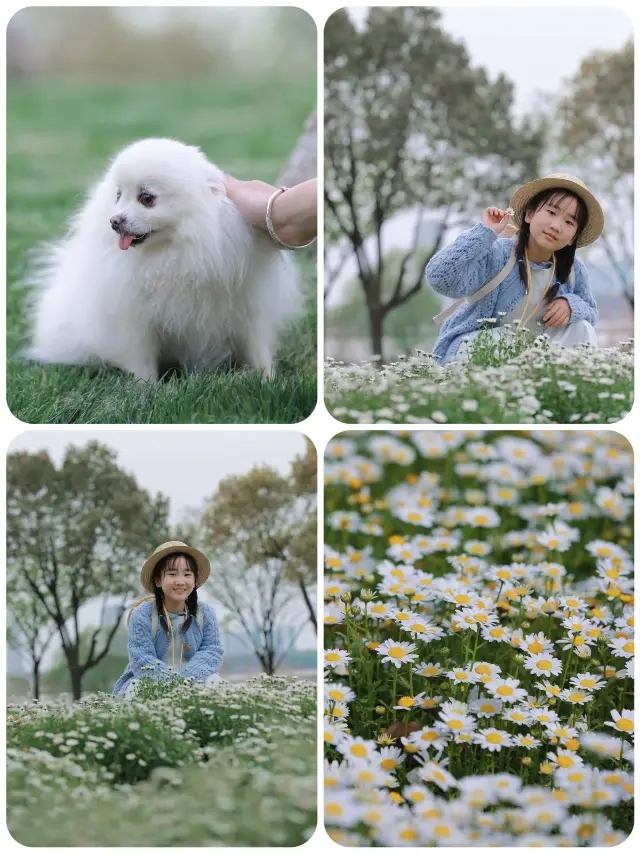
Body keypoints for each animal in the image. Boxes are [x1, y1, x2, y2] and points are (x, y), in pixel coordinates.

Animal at [26, 137, 302, 380]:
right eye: (118, 196)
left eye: (146, 198)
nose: (114, 221)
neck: (173, 254)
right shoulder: (135, 318)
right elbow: (142, 358)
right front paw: (146, 388)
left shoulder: (248, 306)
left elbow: (257, 348)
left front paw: (267, 380)